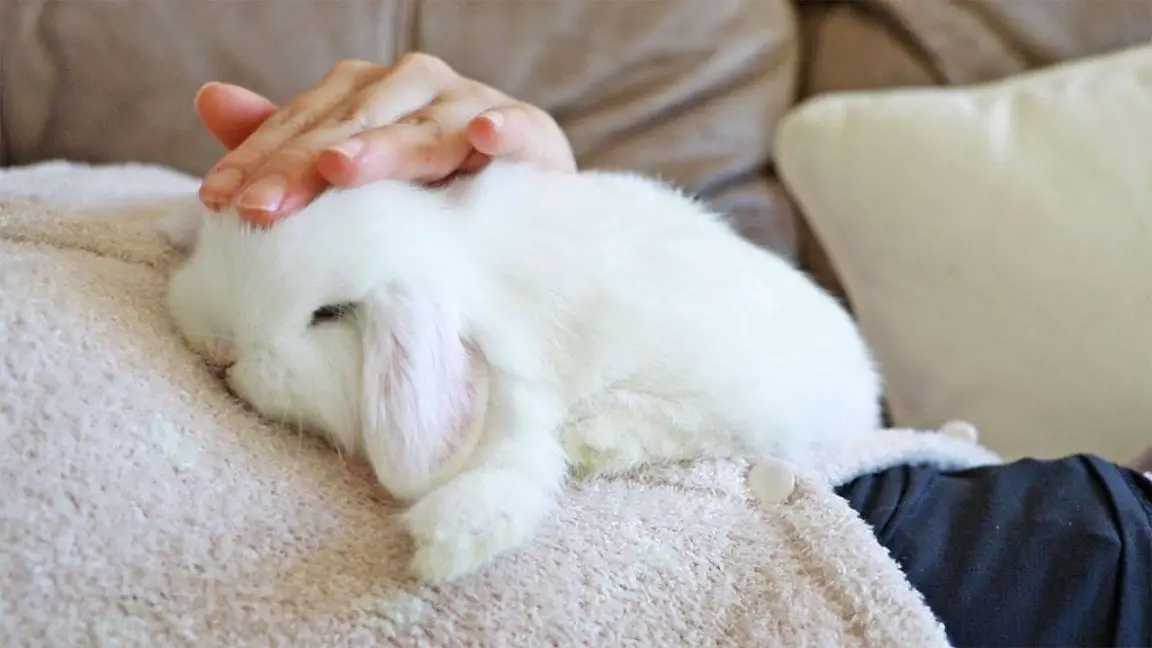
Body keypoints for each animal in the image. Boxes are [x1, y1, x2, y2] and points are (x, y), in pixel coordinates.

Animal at [160, 160, 883, 584]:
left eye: (330, 312)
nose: (222, 351)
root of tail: (865, 376)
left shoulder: (514, 387)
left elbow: (516, 471)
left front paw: (447, 543)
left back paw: (599, 440)